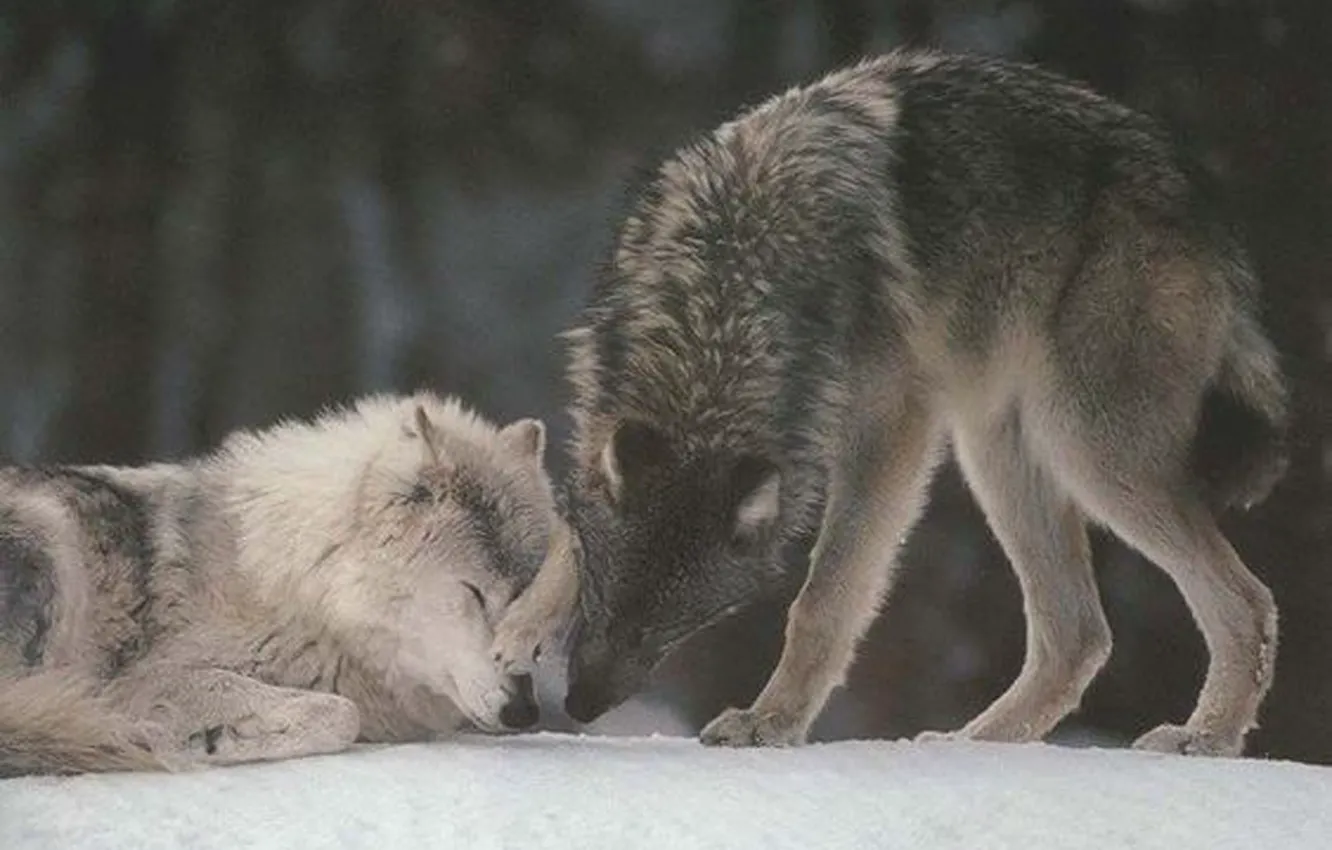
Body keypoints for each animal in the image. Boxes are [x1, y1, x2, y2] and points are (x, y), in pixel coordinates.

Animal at [0, 391, 576, 777]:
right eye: (475, 593)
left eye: (529, 600)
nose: (524, 710)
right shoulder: (144, 678)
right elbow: (339, 714)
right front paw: (204, 740)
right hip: (46, 538)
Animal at [557, 50, 1288, 758]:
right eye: (596, 596)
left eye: (664, 626)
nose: (580, 705)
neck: (732, 274)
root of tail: (1202, 200)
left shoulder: (891, 428)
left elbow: (822, 602)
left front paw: (770, 724)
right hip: (998, 451)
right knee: (1079, 634)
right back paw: (973, 744)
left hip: (1086, 447)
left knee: (1248, 603)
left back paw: (1204, 737)